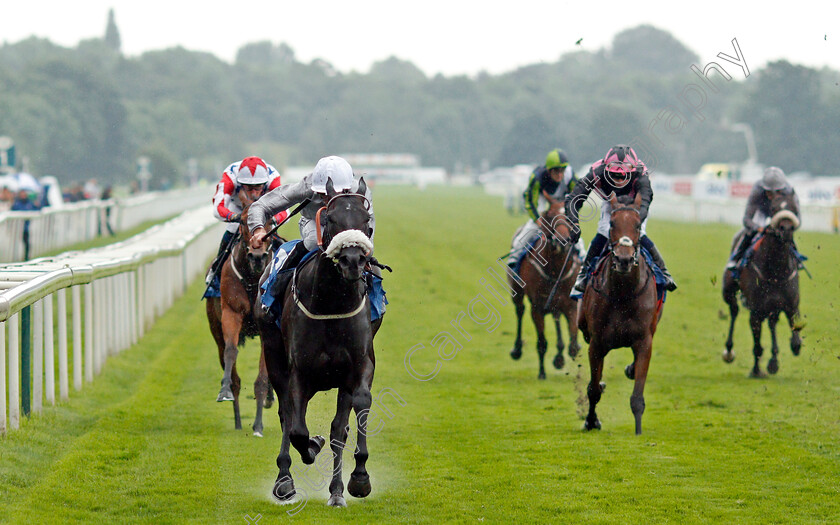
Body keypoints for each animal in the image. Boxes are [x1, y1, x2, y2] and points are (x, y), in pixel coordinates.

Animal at [207, 199, 276, 436]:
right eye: (245, 222)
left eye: (271, 220)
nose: (257, 257)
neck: (253, 278)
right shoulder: (232, 313)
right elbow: (231, 351)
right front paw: (224, 390)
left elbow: (263, 376)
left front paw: (258, 425)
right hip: (215, 329)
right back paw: (237, 420)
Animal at [258, 178, 378, 506]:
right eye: (330, 219)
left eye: (367, 221)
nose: (353, 260)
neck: (331, 304)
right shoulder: (299, 372)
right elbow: (298, 429)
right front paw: (311, 445)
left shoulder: (359, 365)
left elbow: (357, 409)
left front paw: (359, 478)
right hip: (273, 355)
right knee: (287, 415)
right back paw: (284, 479)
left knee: (338, 429)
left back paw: (336, 491)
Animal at [508, 200, 580, 376]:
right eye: (550, 215)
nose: (562, 240)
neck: (556, 270)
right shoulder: (537, 307)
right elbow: (541, 342)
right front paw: (542, 373)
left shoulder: (570, 305)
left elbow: (573, 346)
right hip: (517, 292)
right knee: (520, 311)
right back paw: (517, 350)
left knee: (556, 317)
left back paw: (559, 357)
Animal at [576, 192, 664, 434]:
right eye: (613, 224)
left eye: (637, 224)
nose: (624, 260)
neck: (623, 294)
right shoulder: (596, 344)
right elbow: (593, 390)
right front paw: (591, 421)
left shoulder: (644, 341)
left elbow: (637, 396)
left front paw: (638, 430)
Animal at [720, 192, 804, 376]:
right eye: (774, 208)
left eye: (794, 207)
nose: (786, 229)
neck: (776, 271)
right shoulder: (756, 311)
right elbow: (757, 345)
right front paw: (756, 371)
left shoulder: (791, 305)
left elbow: (796, 339)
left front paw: (780, 357)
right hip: (728, 291)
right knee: (734, 311)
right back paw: (729, 351)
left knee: (772, 323)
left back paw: (774, 360)